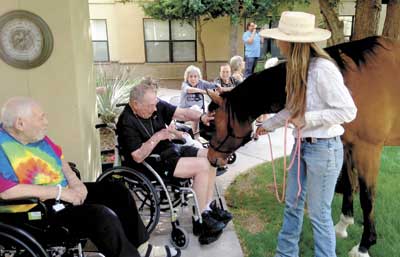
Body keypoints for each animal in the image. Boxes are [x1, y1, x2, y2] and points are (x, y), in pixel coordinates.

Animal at [206, 36, 400, 256]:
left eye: (216, 123)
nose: (211, 158)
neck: (350, 81)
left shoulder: (368, 150)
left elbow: (367, 198)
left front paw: (364, 245)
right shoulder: (347, 146)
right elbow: (348, 184)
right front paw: (343, 225)